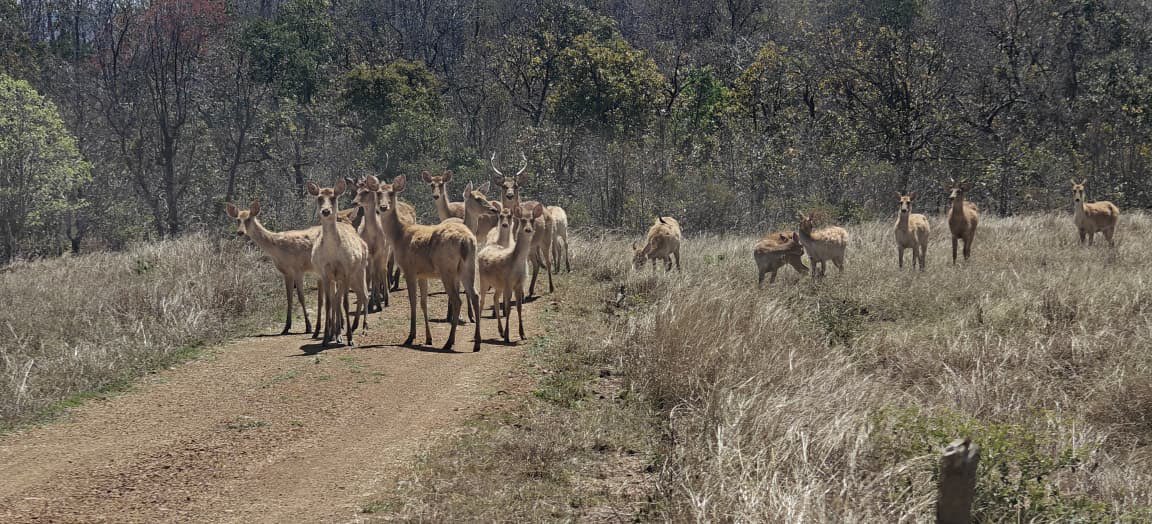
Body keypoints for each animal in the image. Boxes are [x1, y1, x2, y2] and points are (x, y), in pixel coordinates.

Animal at [225, 201, 324, 337]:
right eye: (237, 219)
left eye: (249, 218)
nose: (240, 232)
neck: (277, 248)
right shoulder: (286, 272)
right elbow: (289, 298)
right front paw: (286, 328)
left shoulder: (298, 268)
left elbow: (301, 297)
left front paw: (308, 327)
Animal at [306, 180, 370, 347]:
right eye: (319, 198)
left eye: (334, 197)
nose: (326, 211)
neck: (333, 254)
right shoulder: (325, 274)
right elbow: (329, 302)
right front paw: (326, 338)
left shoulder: (346, 271)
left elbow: (346, 303)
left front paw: (350, 339)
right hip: (338, 278)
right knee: (337, 298)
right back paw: (337, 333)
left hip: (360, 270)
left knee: (363, 294)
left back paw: (363, 329)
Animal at [378, 174, 482, 352]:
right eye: (378, 193)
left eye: (392, 193)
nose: (383, 207)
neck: (399, 236)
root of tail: (466, 241)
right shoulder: (423, 274)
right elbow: (423, 302)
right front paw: (428, 338)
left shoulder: (409, 269)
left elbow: (413, 301)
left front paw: (410, 337)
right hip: (469, 267)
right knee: (475, 295)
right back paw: (476, 342)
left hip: (447, 270)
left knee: (457, 300)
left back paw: (449, 342)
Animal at [479, 204, 544, 343]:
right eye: (522, 220)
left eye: (532, 220)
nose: (528, 229)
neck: (515, 264)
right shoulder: (508, 282)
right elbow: (508, 308)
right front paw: (508, 336)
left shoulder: (519, 284)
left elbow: (518, 307)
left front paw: (522, 334)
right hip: (483, 280)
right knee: (481, 301)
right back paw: (479, 334)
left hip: (498, 284)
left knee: (495, 299)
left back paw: (500, 331)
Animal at [491, 151, 555, 297]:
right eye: (504, 186)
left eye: (516, 186)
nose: (509, 195)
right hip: (533, 246)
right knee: (537, 264)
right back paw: (530, 290)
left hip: (546, 239)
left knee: (548, 262)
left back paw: (551, 288)